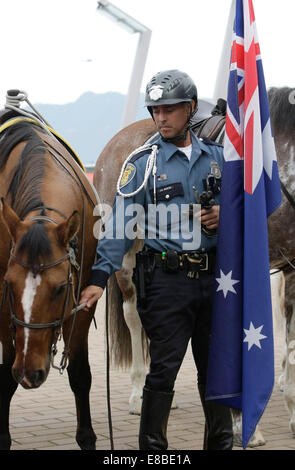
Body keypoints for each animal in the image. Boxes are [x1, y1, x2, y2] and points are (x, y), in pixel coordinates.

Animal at [0, 104, 99, 450]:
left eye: (58, 289)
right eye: (10, 284)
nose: (30, 372)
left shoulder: (83, 300)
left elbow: (80, 374)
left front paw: (86, 436)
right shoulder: (3, 308)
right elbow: (4, 376)